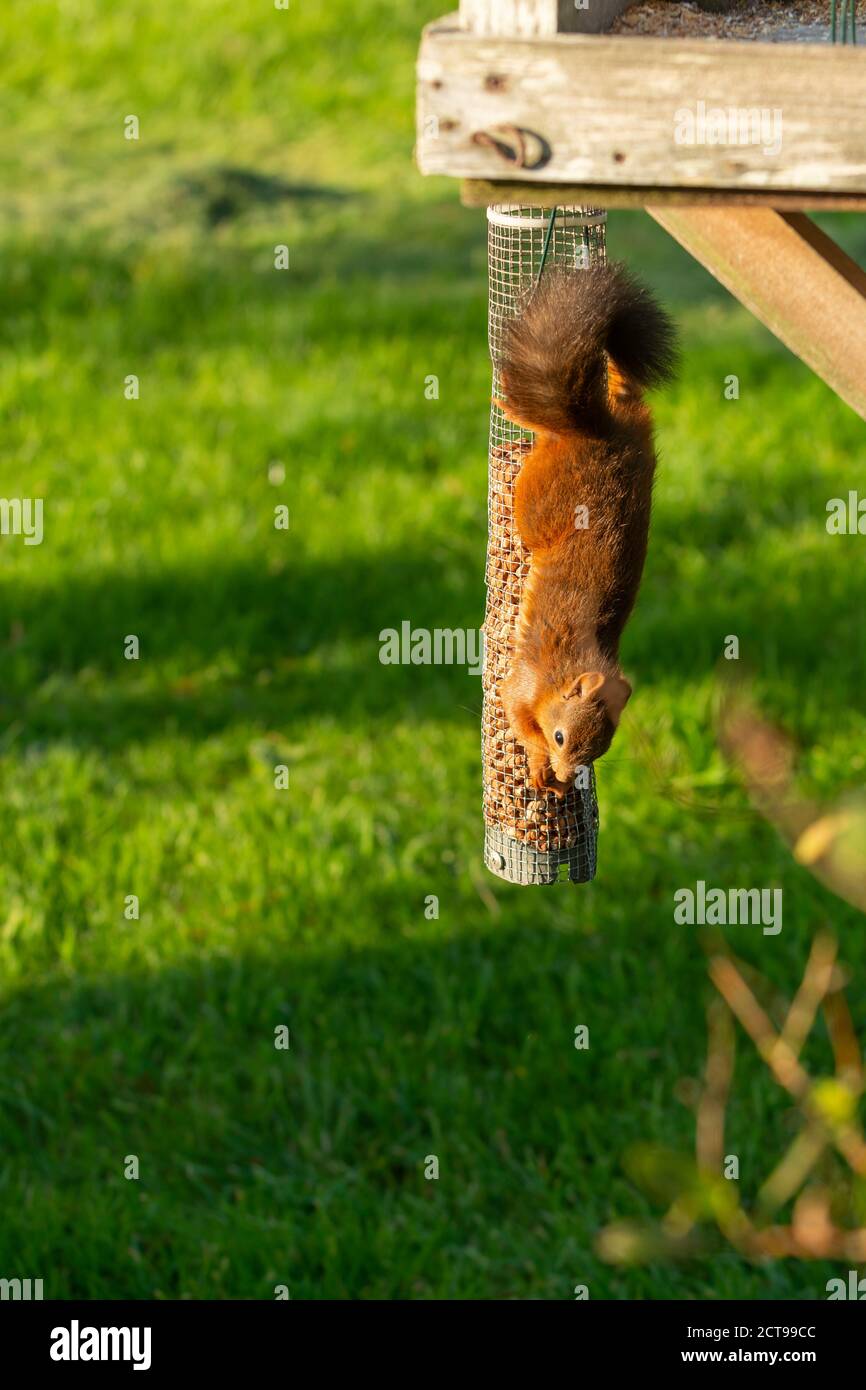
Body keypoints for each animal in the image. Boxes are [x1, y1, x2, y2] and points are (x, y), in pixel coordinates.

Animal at [497, 262, 677, 799]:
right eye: (560, 736)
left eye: (600, 751)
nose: (566, 774)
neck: (569, 671)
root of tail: (602, 432)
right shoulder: (528, 683)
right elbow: (516, 714)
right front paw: (539, 765)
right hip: (538, 502)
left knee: (626, 395)